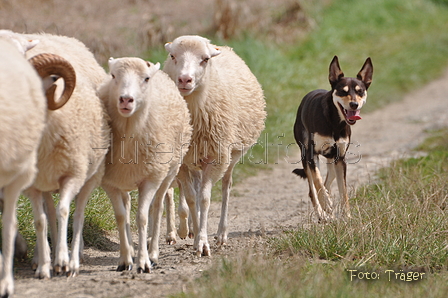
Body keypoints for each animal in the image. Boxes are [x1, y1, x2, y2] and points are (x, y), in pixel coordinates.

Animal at [99, 56, 192, 272]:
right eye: (113, 75)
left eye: (146, 78)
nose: (126, 99)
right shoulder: (110, 182)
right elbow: (121, 217)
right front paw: (125, 260)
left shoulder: (150, 179)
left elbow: (142, 217)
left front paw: (143, 261)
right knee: (129, 205)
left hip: (166, 173)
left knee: (157, 207)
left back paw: (154, 253)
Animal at [163, 35, 266, 256]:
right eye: (172, 56)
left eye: (205, 59)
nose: (185, 79)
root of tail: (223, 47)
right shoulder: (182, 162)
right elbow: (192, 198)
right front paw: (195, 237)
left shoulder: (215, 157)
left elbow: (205, 199)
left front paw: (203, 242)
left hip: (230, 155)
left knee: (227, 186)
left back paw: (221, 234)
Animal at [292, 56, 372, 221]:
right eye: (343, 91)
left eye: (360, 92)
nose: (354, 104)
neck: (334, 121)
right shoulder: (311, 155)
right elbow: (317, 181)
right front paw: (326, 204)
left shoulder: (340, 159)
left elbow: (343, 191)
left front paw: (347, 217)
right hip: (306, 158)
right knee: (313, 189)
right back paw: (322, 213)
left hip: (332, 161)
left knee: (327, 182)